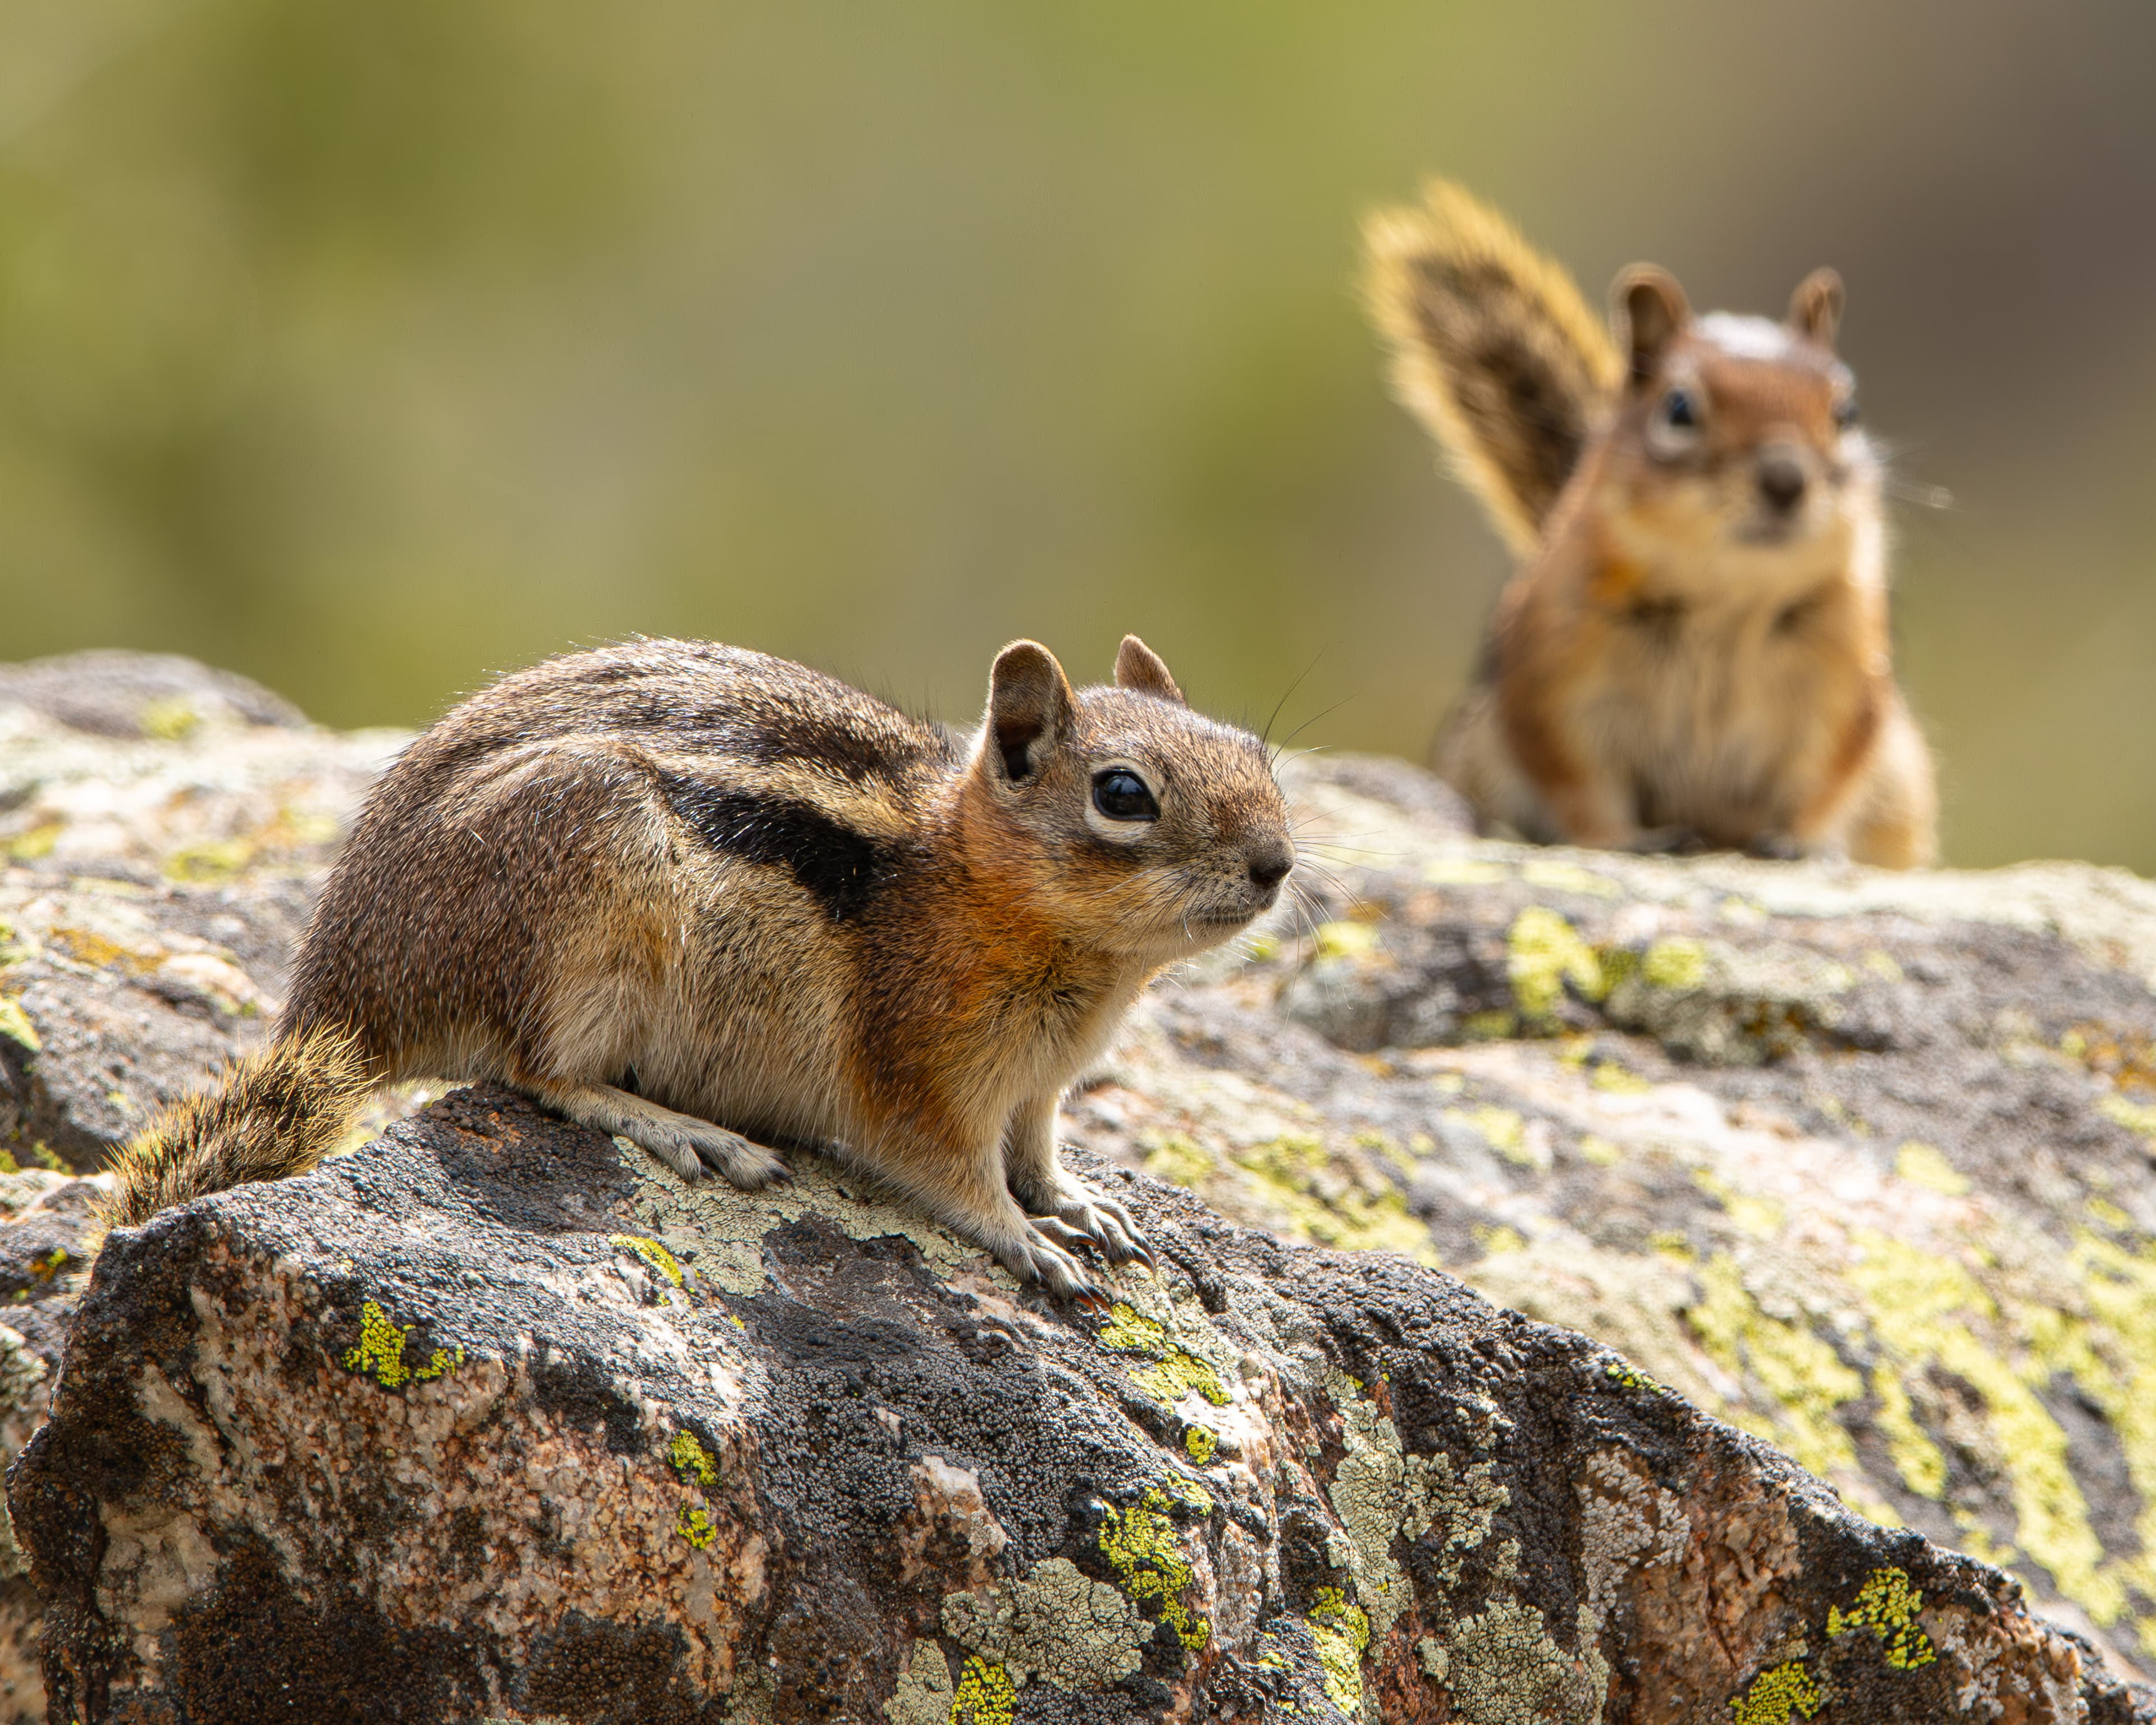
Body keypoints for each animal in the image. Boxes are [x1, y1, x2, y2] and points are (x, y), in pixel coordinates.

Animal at [99, 635, 1295, 1302]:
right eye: (1123, 793)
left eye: (1258, 754)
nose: (1278, 863)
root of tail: (338, 995)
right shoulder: (917, 1070)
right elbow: (953, 1175)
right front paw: (1025, 1241)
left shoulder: (1038, 1089)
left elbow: (1040, 1151)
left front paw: (1082, 1206)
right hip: (584, 906)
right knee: (540, 1073)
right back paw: (689, 1130)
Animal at [1363, 180, 1938, 867]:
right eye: (1679, 409)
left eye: (1847, 411)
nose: (1785, 480)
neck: (1728, 597)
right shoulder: (1557, 681)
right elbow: (1577, 780)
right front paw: (1623, 840)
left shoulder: (1843, 677)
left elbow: (1826, 776)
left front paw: (1804, 843)